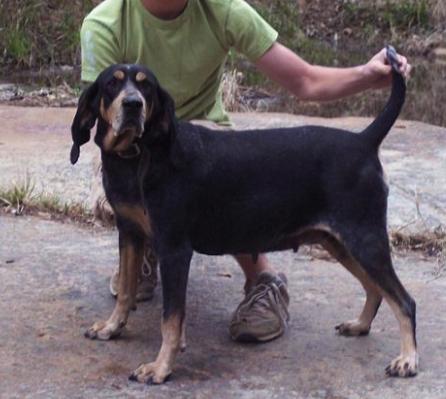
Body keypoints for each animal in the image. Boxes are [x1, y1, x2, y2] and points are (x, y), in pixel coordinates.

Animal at [70, 46, 418, 384]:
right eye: (112, 83)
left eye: (146, 86)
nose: (133, 105)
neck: (139, 155)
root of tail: (364, 139)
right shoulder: (129, 232)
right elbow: (126, 291)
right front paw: (111, 327)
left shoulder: (174, 249)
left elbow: (171, 318)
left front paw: (160, 368)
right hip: (338, 242)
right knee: (375, 288)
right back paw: (360, 325)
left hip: (364, 239)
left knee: (404, 300)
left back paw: (407, 360)